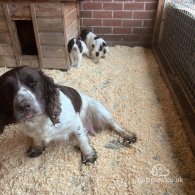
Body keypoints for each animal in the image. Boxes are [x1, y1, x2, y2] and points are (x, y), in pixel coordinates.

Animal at [0, 66, 137, 164]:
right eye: (8, 90)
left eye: (32, 82)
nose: (23, 106)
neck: (41, 119)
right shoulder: (32, 131)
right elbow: (37, 138)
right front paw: (36, 148)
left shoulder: (75, 125)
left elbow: (83, 141)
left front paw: (88, 155)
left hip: (100, 110)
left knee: (114, 125)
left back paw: (128, 136)